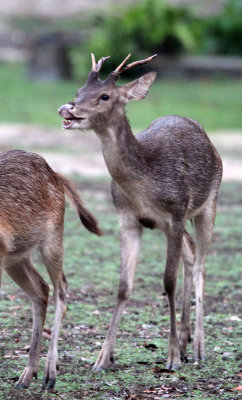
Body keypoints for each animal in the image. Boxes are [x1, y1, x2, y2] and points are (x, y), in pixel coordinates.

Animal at [0, 148, 101, 390]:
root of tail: (56, 175)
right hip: (16, 254)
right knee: (41, 289)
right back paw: (26, 376)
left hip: (52, 238)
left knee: (61, 287)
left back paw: (49, 374)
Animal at [58, 53, 223, 372]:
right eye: (79, 92)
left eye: (105, 96)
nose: (67, 108)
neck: (145, 184)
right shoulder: (128, 218)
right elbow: (124, 286)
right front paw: (102, 358)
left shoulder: (176, 213)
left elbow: (168, 282)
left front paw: (171, 358)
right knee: (190, 255)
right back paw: (185, 340)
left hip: (208, 202)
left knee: (200, 265)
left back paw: (197, 347)